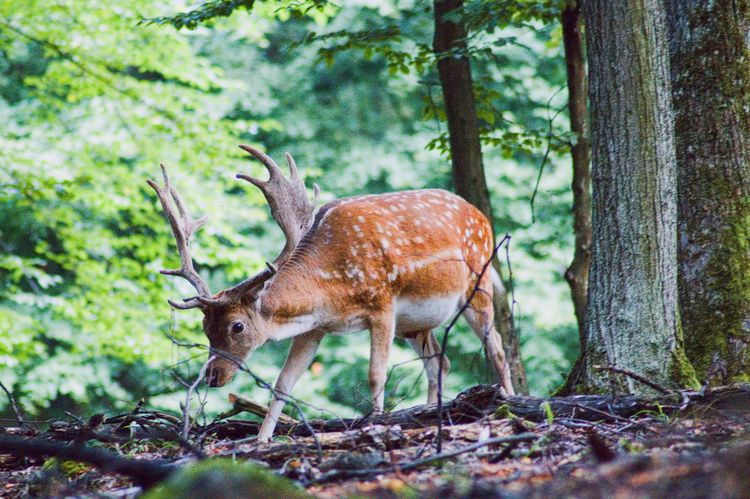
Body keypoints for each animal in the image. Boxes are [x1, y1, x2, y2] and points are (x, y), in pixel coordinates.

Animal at [150, 146, 520, 442]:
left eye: (236, 325)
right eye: (204, 327)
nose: (213, 376)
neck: (331, 292)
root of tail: (483, 217)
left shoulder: (383, 303)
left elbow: (375, 374)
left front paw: (376, 423)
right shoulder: (314, 329)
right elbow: (283, 383)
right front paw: (261, 439)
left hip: (479, 282)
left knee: (497, 349)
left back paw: (508, 404)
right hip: (415, 324)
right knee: (440, 362)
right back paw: (429, 414)